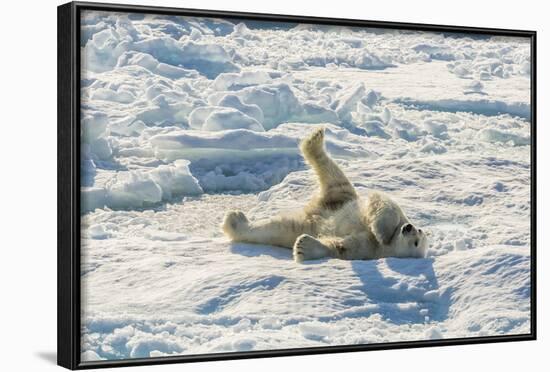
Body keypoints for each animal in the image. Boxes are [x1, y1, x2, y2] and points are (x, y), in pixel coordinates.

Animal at [222, 128, 430, 262]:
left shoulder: (366, 249)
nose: (408, 228)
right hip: (341, 198)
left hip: (312, 215)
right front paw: (382, 231)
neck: (385, 245)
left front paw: (304, 247)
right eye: (418, 231)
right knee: (334, 173)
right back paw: (315, 138)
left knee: (275, 229)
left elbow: (339, 246)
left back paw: (234, 222)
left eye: (416, 243)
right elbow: (386, 204)